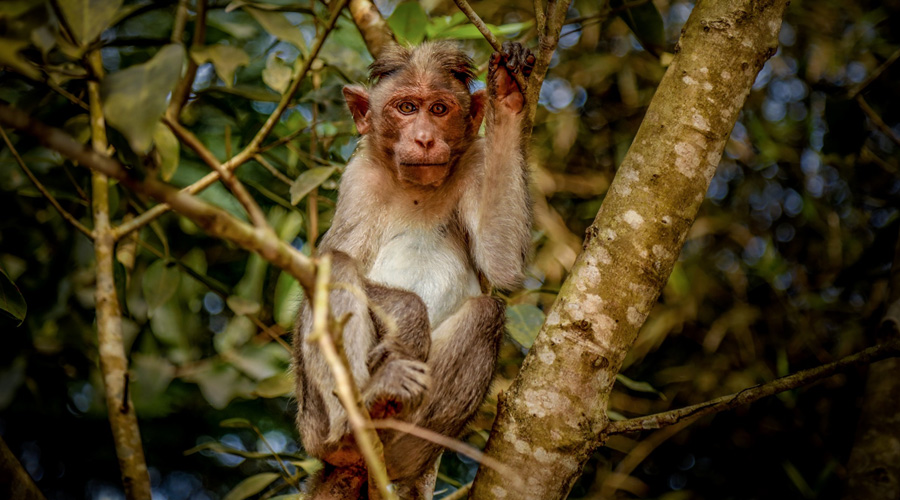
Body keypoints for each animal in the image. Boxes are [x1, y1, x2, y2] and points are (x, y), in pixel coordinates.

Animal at [294, 41, 536, 498]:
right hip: (310, 419)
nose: (424, 139)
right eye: (406, 108)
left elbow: (501, 264)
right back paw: (354, 422)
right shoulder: (358, 180)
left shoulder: (477, 160)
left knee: (486, 313)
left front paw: (509, 93)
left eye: (439, 109)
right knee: (339, 266)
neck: (416, 188)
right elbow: (321, 267)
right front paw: (409, 319)